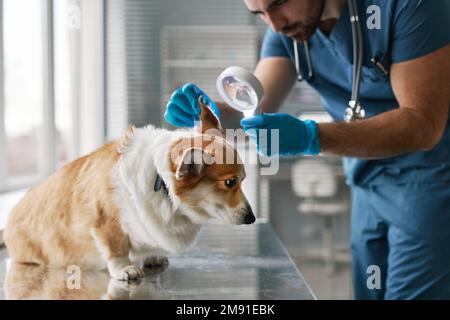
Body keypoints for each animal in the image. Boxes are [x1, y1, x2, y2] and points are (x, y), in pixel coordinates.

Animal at [5, 99, 255, 282]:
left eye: (243, 180)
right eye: (230, 182)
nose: (252, 219)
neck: (161, 184)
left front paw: (153, 257)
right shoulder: (106, 222)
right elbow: (116, 248)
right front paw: (125, 269)